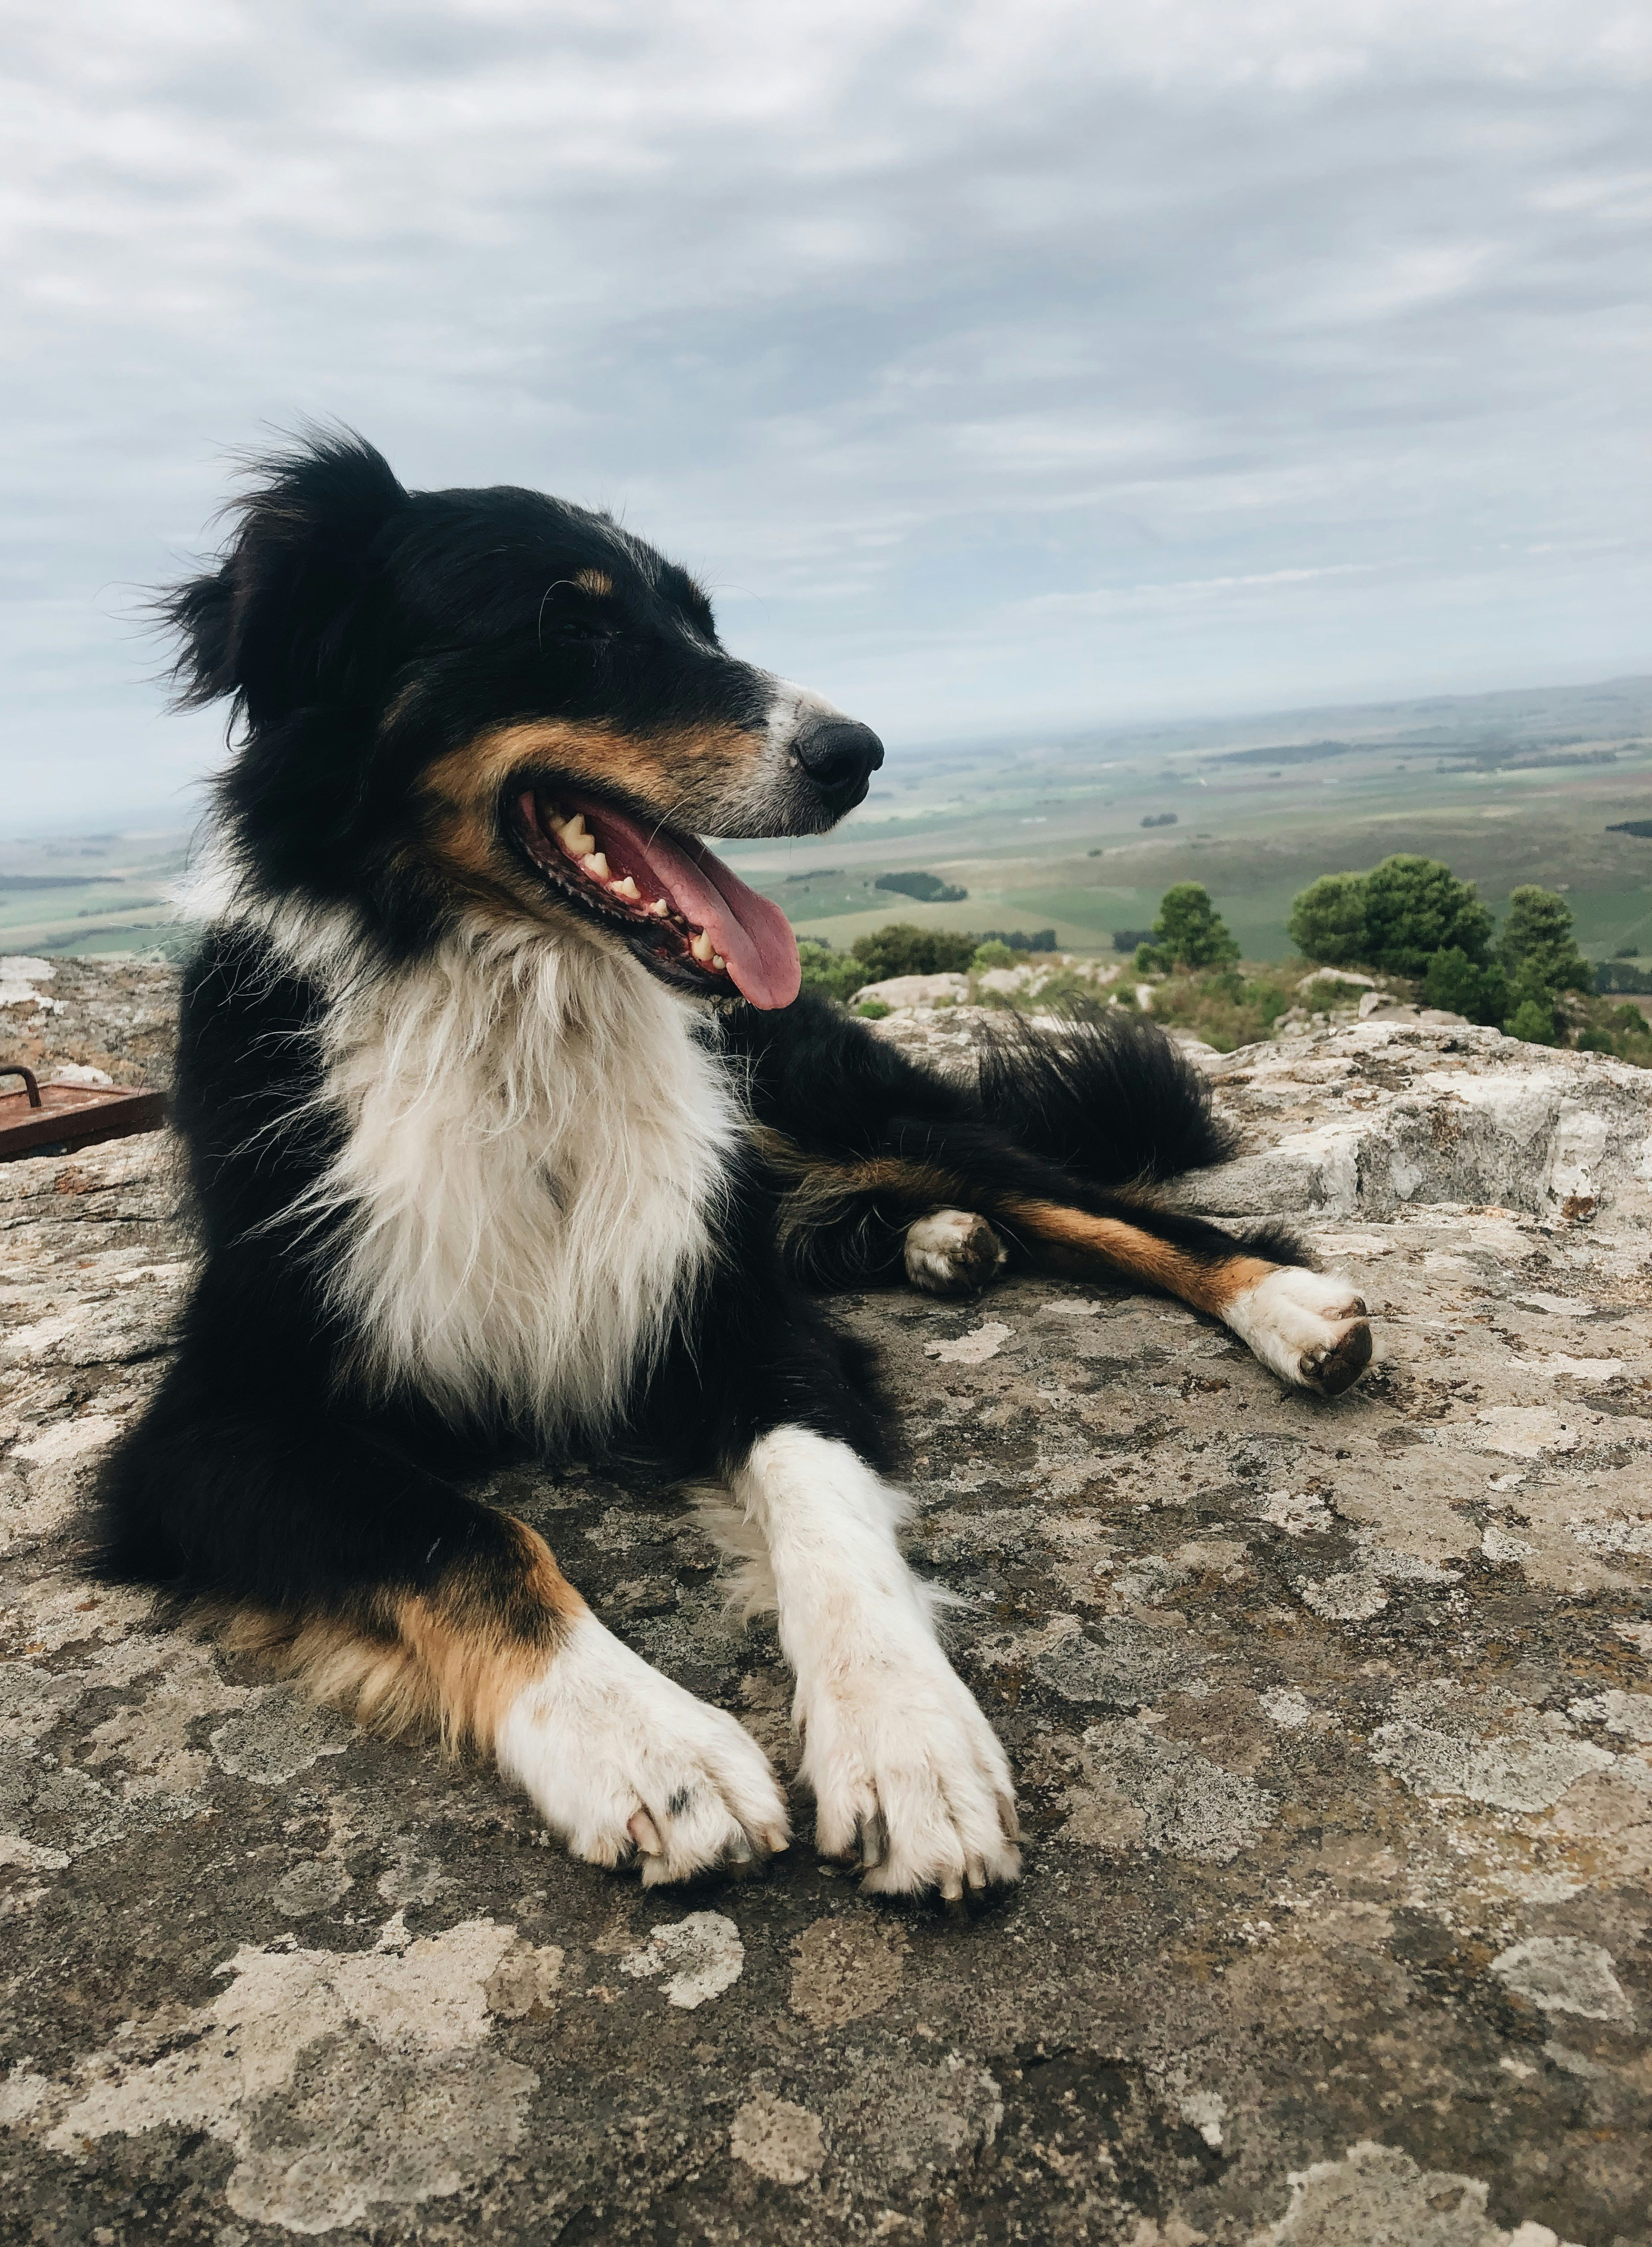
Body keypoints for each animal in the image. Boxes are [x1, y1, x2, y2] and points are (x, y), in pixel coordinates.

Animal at [96, 434, 1375, 1896]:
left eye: (702, 619)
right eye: (571, 620)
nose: (857, 753)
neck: (515, 1010)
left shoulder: (726, 1304)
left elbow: (822, 1504)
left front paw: (909, 1744)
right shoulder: (214, 1422)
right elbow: (470, 1536)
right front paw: (646, 1746)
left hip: (827, 1095)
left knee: (1082, 1198)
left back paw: (1284, 1308)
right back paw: (945, 1243)